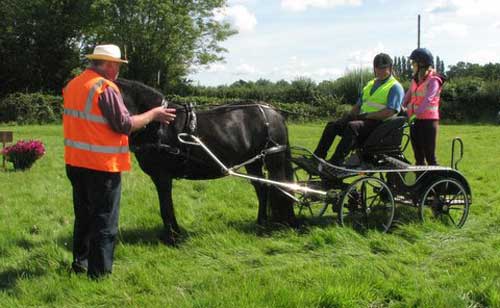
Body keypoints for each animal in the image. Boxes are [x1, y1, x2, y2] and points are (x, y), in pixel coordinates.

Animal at [117, 79, 296, 245]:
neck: (159, 124)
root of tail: (273, 111)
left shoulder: (162, 176)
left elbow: (166, 207)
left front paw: (173, 238)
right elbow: (166, 206)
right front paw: (172, 234)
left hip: (274, 160)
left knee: (280, 188)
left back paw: (281, 223)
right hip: (253, 163)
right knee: (262, 188)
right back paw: (261, 223)